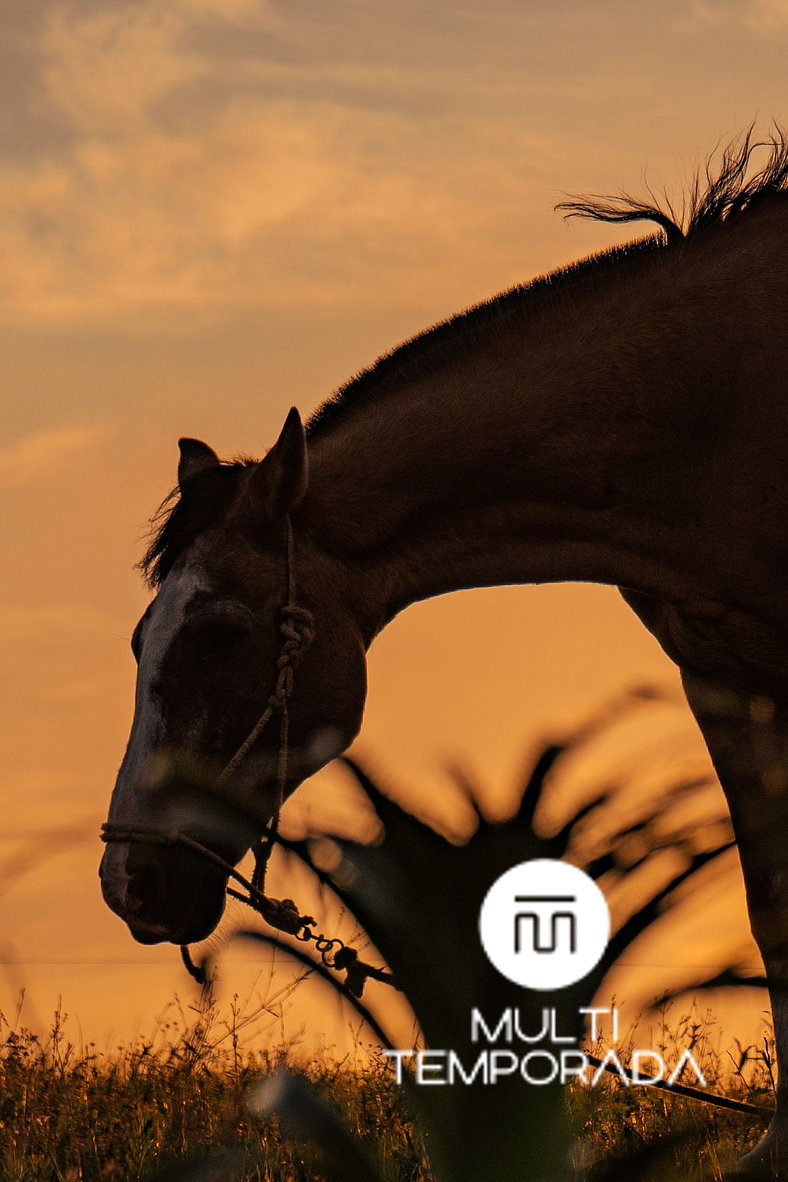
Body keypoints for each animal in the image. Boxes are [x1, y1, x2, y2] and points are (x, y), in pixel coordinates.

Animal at [101, 134, 788, 1177]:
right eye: (143, 639)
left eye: (221, 633)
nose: (128, 881)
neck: (715, 410)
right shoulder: (723, 677)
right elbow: (773, 911)